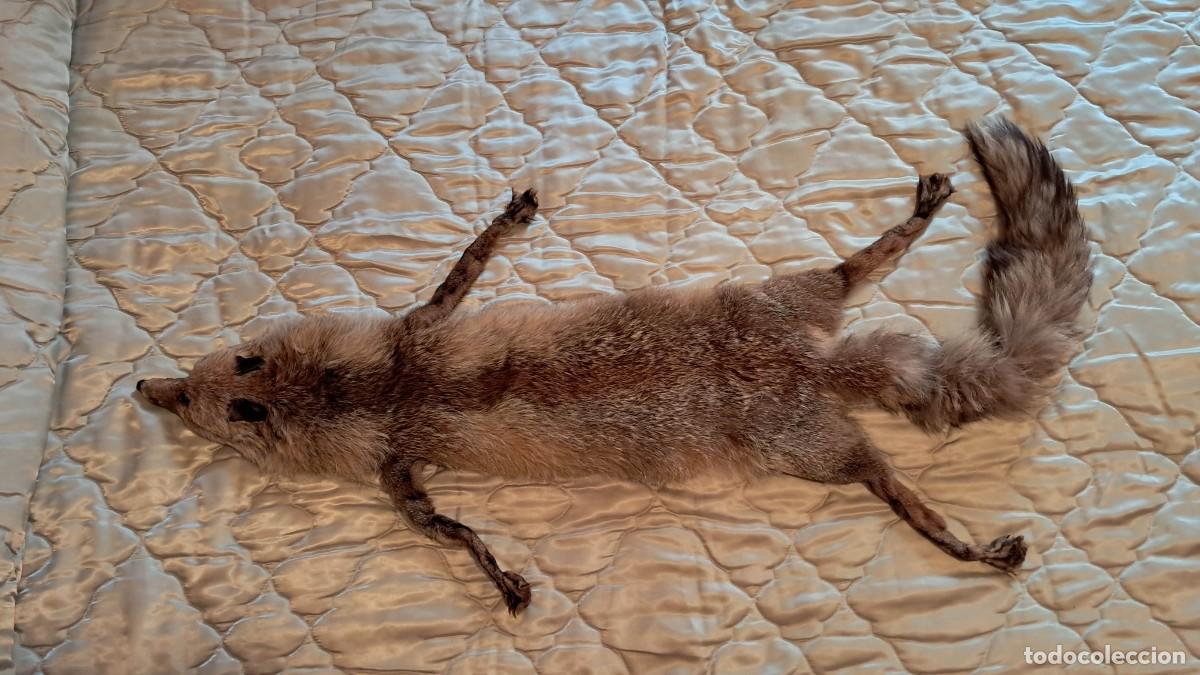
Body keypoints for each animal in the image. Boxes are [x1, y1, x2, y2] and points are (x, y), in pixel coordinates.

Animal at [139, 117, 1093, 615]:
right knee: (861, 275)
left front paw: (500, 578)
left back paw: (968, 543)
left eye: (213, 400)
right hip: (803, 324)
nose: (149, 387)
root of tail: (817, 370)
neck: (377, 385)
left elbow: (457, 526)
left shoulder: (408, 417)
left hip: (813, 438)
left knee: (893, 477)